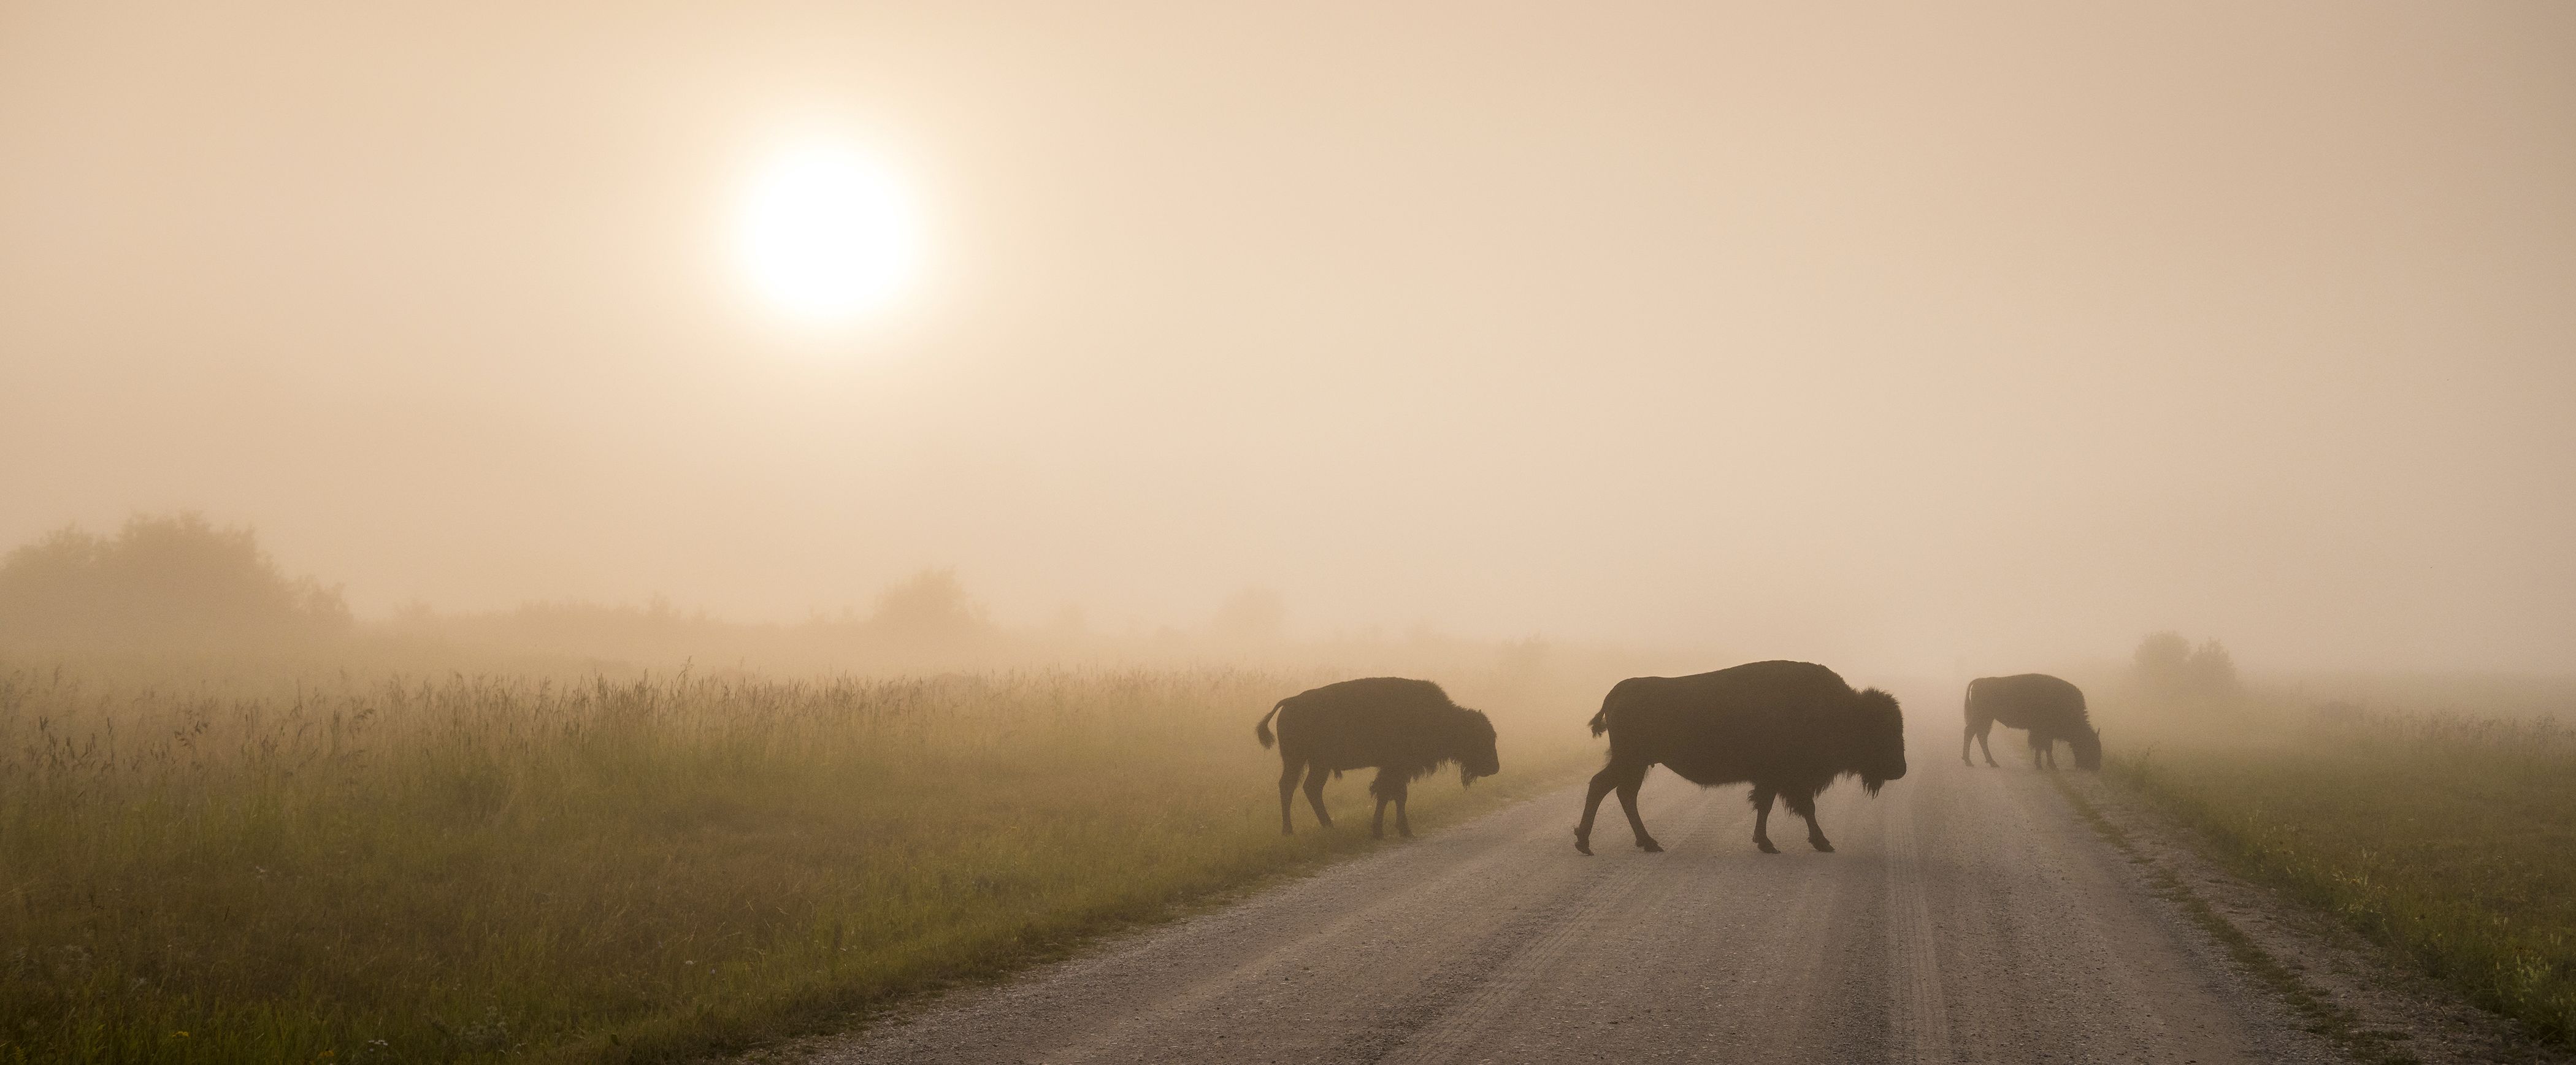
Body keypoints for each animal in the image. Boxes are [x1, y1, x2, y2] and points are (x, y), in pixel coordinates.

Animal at [1252, 674, 1504, 838]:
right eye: (1480, 738)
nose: (1495, 767)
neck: (1442, 718)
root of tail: (1291, 701)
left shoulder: (1394, 769)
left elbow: (1390, 795)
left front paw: (1382, 829)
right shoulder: (1397, 767)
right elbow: (1395, 794)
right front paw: (1402, 830)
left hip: (1313, 763)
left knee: (1307, 788)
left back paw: (1326, 826)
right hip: (1300, 760)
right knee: (1291, 787)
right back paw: (1291, 830)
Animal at [1555, 658, 1906, 859]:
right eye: (1880, 730)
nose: (1901, 769)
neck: (1838, 711)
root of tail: (1619, 690)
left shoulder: (1773, 780)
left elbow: (1770, 806)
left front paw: (1767, 842)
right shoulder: (1786, 779)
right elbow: (1802, 807)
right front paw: (1814, 843)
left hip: (1636, 764)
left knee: (1621, 793)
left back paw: (1645, 842)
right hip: (1631, 760)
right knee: (1603, 787)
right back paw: (1588, 843)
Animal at [1957, 679, 2102, 771]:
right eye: (2090, 747)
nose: (2096, 767)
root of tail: (1979, 681)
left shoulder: (2040, 732)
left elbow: (2041, 747)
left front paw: (2040, 765)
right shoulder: (2044, 732)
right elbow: (2047, 747)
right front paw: (2052, 766)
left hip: (1987, 719)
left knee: (1980, 735)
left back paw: (1991, 762)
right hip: (1982, 717)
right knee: (1971, 733)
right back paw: (1970, 761)